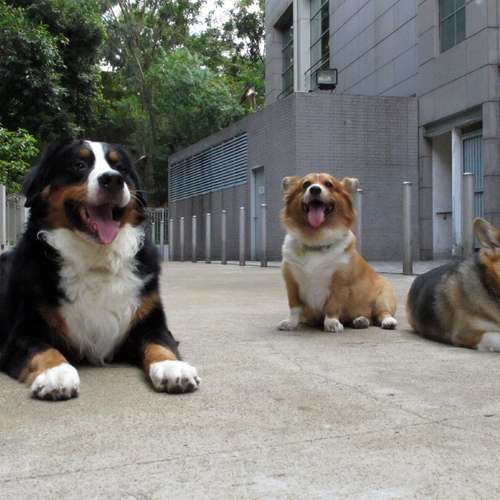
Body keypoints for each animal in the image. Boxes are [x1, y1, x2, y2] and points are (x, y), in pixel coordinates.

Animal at [0, 140, 200, 400]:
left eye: (120, 168)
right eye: (79, 164)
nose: (113, 179)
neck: (97, 260)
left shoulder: (150, 321)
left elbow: (161, 344)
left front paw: (173, 367)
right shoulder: (22, 333)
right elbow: (43, 350)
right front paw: (57, 373)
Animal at [278, 173, 397, 333]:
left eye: (329, 184)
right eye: (305, 184)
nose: (314, 189)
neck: (316, 240)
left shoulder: (339, 283)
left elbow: (332, 306)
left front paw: (332, 323)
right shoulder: (291, 282)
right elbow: (294, 307)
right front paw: (291, 323)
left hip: (383, 297)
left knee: (381, 313)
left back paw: (387, 321)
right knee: (368, 317)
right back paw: (361, 320)